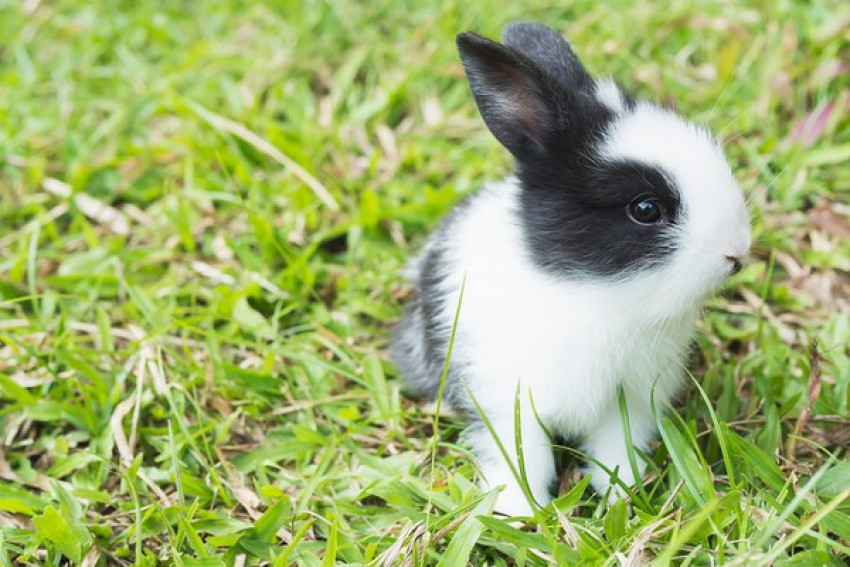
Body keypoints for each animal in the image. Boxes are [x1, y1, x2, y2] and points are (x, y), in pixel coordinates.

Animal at [391, 22, 751, 517]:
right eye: (645, 209)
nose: (737, 252)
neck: (595, 295)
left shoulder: (628, 401)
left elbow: (616, 449)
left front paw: (623, 496)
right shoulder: (507, 403)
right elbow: (522, 458)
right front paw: (518, 512)